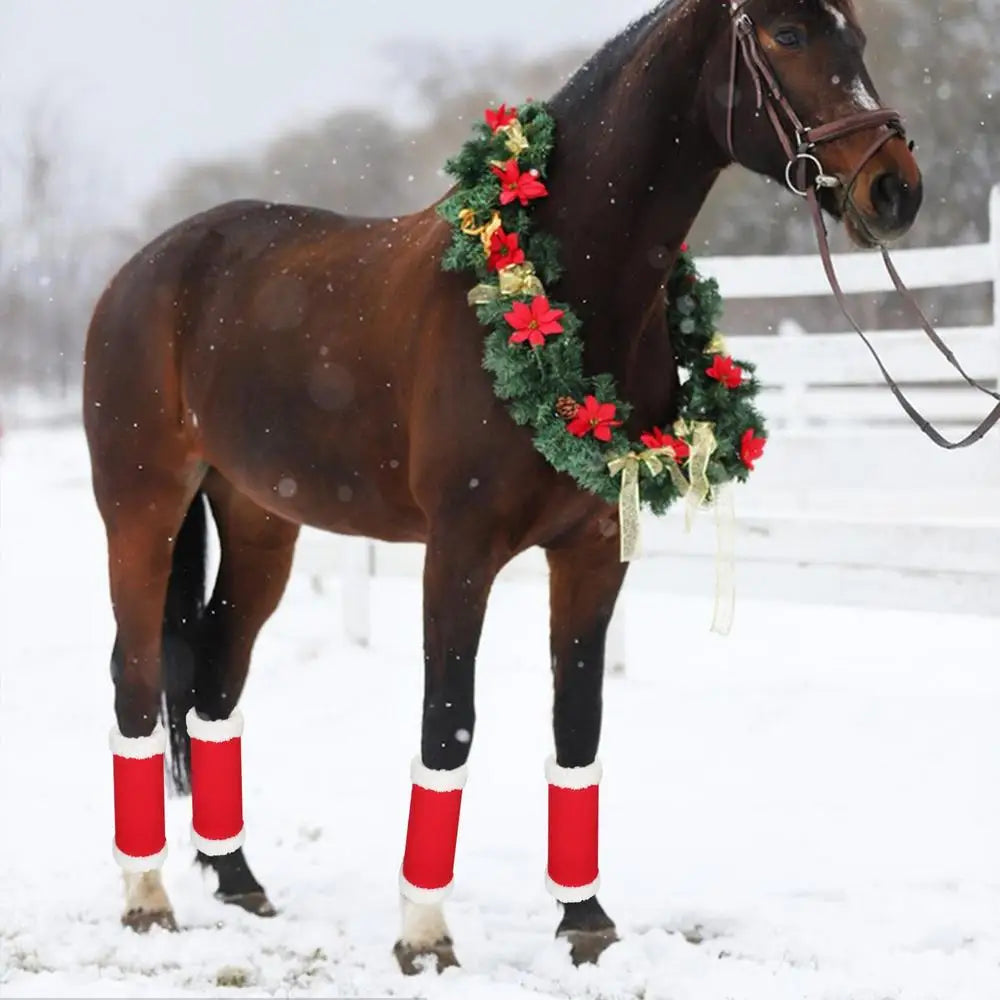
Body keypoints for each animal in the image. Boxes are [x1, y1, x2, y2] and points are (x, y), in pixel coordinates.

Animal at [83, 0, 922, 974]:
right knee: (137, 677)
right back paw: (147, 897)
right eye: (788, 37)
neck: (561, 282)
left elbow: (578, 723)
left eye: (857, 36)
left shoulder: (593, 553)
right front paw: (424, 934)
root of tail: (143, 267)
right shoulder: (459, 552)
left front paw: (585, 920)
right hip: (142, 507)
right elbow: (449, 723)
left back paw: (239, 880)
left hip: (259, 520)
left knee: (216, 678)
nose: (895, 189)